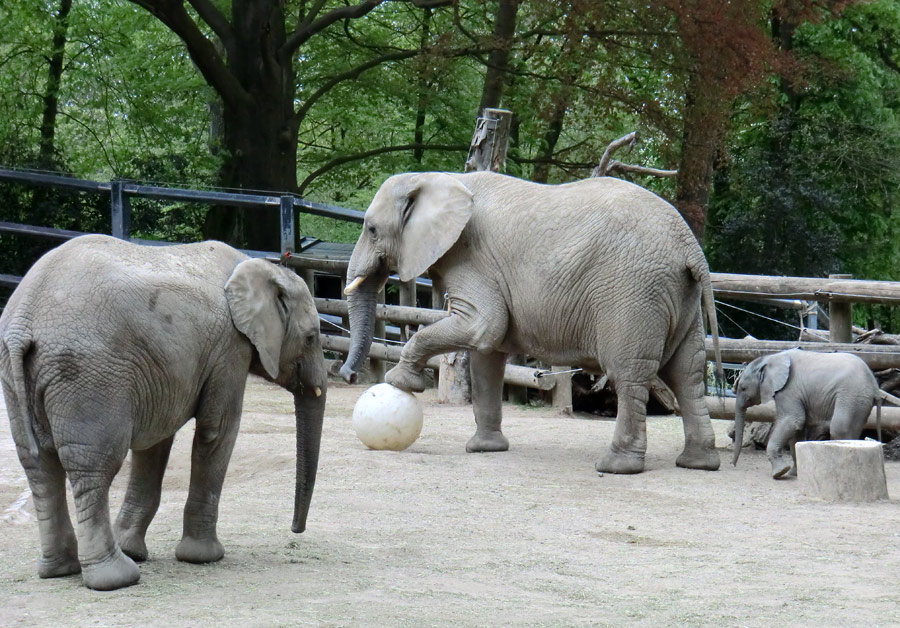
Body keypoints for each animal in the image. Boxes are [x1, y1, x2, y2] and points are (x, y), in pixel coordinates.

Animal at [0, 234, 328, 588]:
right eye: (311, 338)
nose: (296, 530)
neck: (262, 267)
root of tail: (23, 321)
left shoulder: (160, 372)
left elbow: (156, 442)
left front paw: (134, 549)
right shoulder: (229, 348)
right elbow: (218, 430)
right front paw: (203, 557)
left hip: (17, 371)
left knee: (38, 465)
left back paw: (60, 570)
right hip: (86, 373)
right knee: (93, 466)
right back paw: (115, 578)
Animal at [338, 172, 724, 476]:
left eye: (371, 229)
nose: (348, 376)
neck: (438, 178)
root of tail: (691, 248)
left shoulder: (469, 255)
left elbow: (482, 327)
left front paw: (400, 381)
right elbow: (486, 355)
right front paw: (484, 449)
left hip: (633, 294)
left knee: (630, 374)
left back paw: (615, 467)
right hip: (679, 298)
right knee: (687, 373)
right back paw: (698, 463)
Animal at [732, 350, 892, 478]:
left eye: (743, 388)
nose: (733, 465)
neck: (771, 358)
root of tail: (875, 387)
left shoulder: (788, 390)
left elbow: (793, 421)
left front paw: (780, 473)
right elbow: (797, 431)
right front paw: (794, 474)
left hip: (852, 396)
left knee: (839, 428)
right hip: (860, 401)